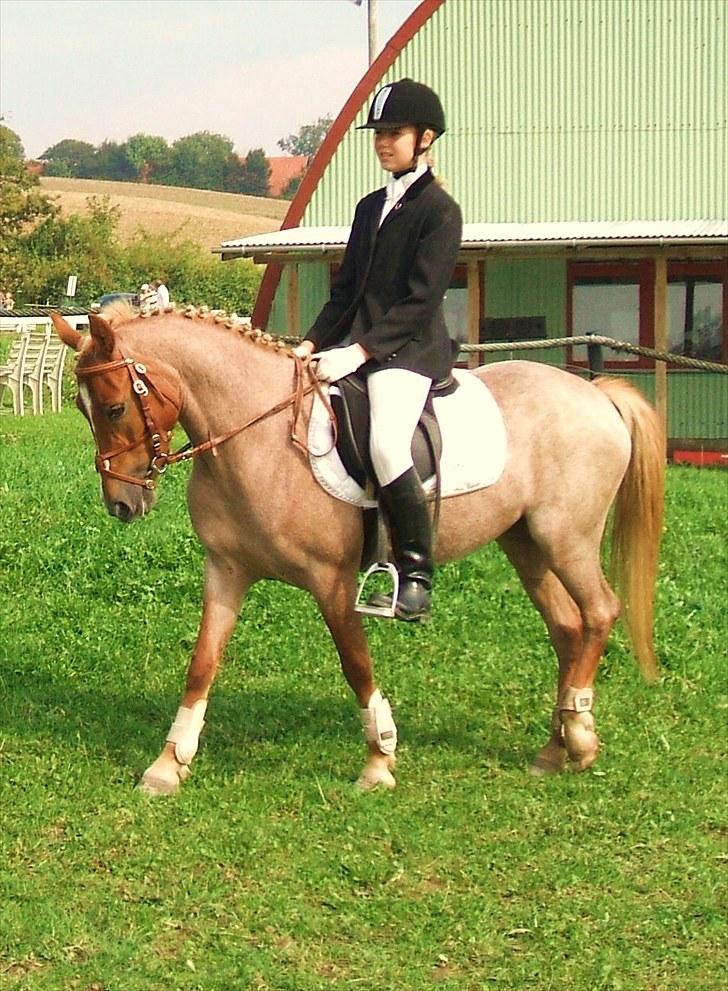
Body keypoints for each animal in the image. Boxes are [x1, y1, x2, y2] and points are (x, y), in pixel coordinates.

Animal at [50, 305, 665, 795]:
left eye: (112, 408)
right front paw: (168, 765)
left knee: (599, 612)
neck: (257, 439)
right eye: (82, 411)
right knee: (567, 628)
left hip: (568, 538)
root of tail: (594, 392)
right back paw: (556, 750)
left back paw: (580, 735)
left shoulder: (333, 581)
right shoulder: (226, 570)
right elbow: (202, 663)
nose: (122, 504)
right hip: (526, 543)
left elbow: (356, 664)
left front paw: (379, 760)